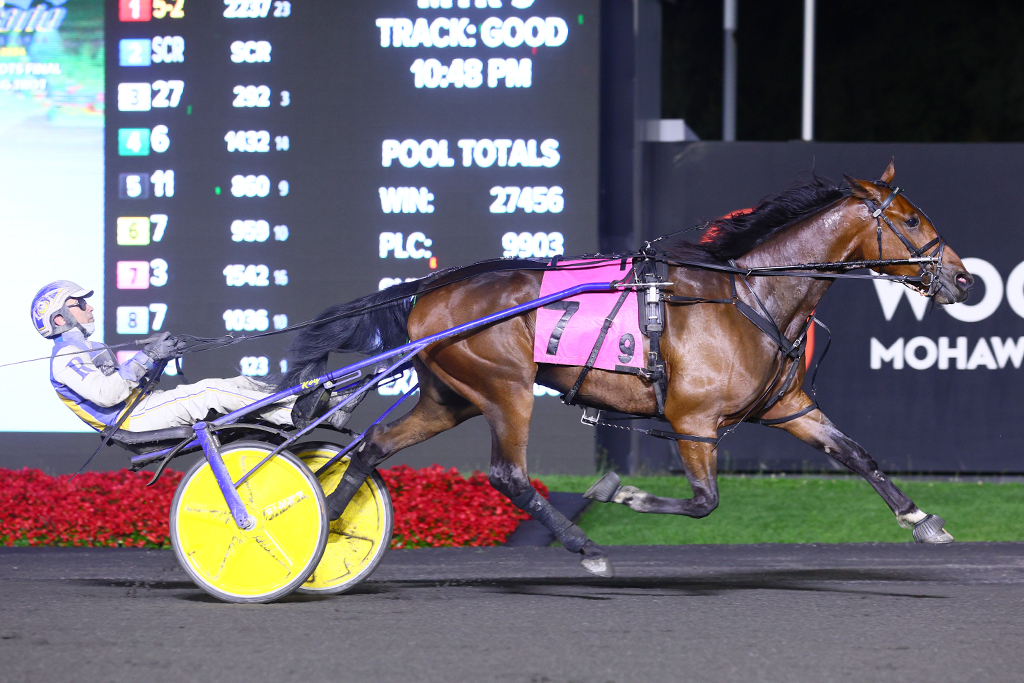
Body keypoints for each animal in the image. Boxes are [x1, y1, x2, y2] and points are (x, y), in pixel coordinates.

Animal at [282, 161, 974, 577]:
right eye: (910, 220)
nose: (963, 279)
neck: (750, 295)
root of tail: (432, 289)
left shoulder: (786, 407)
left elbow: (856, 453)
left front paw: (923, 521)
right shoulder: (693, 417)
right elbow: (704, 501)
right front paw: (622, 492)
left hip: (447, 396)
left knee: (374, 444)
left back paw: (328, 529)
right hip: (504, 387)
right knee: (509, 475)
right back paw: (585, 546)